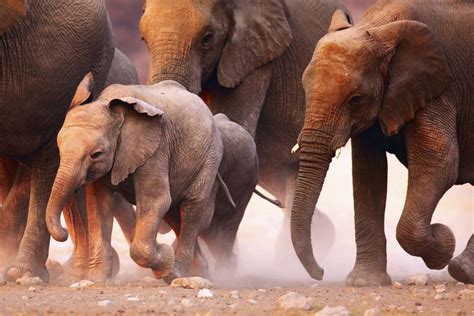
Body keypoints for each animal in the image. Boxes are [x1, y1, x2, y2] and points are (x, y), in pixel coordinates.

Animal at [45, 79, 248, 282]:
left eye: (96, 154)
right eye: (59, 148)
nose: (63, 232)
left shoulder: (156, 149)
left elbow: (156, 200)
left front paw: (164, 256)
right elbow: (99, 205)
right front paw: (95, 280)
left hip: (210, 158)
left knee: (192, 209)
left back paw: (177, 273)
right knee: (175, 215)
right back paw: (197, 272)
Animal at [290, 0, 472, 286]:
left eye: (355, 99)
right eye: (305, 91)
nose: (321, 272)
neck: (380, 27)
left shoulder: (439, 87)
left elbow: (440, 161)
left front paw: (443, 243)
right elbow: (367, 173)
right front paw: (364, 282)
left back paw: (460, 269)